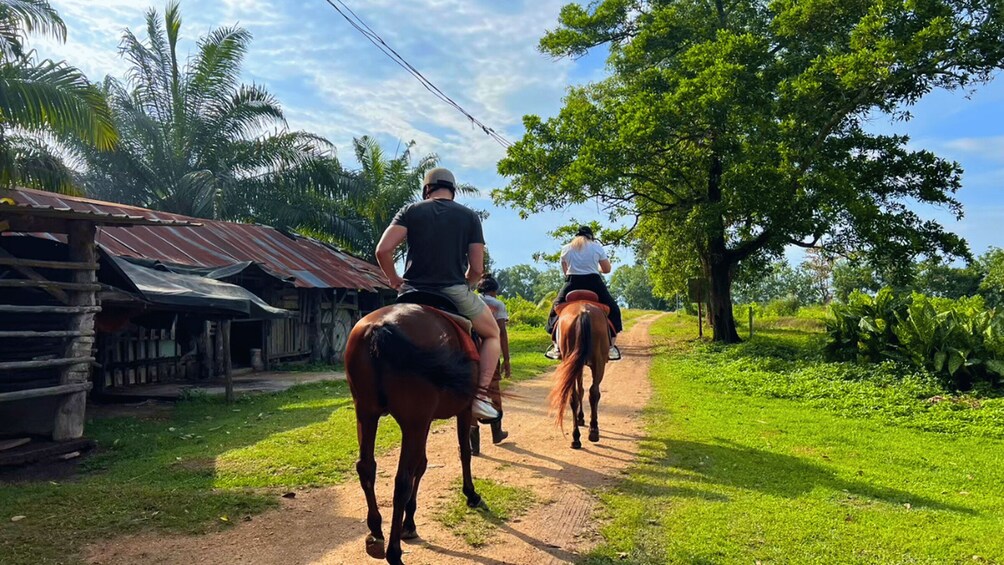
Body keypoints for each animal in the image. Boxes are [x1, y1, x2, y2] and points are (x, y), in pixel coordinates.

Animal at [347, 305, 483, 565]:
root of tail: (380, 327)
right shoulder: (463, 408)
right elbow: (464, 451)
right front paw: (471, 493)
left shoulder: (425, 421)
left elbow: (422, 464)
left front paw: (409, 522)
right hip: (413, 422)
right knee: (401, 480)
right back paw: (394, 552)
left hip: (366, 412)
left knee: (367, 467)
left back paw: (376, 533)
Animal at [550, 299, 610, 449]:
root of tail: (583, 311)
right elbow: (583, 390)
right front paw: (582, 418)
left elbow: (580, 390)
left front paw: (580, 417)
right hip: (598, 362)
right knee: (593, 393)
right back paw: (593, 431)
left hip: (572, 360)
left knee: (574, 397)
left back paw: (576, 438)